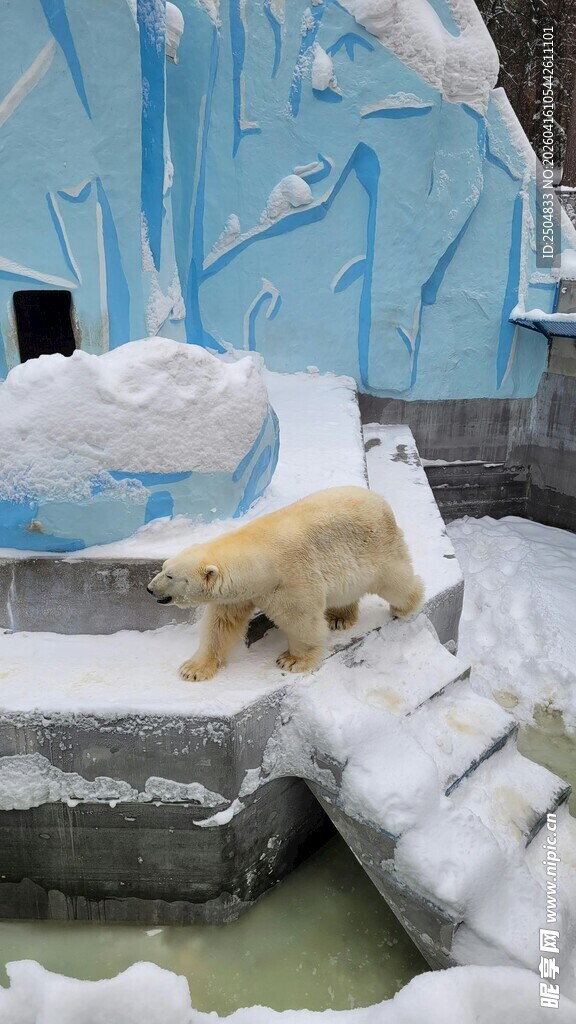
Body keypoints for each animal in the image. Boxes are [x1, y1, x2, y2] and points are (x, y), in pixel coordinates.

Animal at [147, 485, 424, 682]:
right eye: (162, 568)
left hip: (376, 548)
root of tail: (380, 499)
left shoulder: (289, 580)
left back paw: (407, 605)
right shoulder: (236, 595)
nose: (149, 589)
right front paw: (193, 669)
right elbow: (221, 625)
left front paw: (292, 661)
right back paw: (340, 618)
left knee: (395, 581)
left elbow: (301, 620)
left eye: (170, 576)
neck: (257, 556)